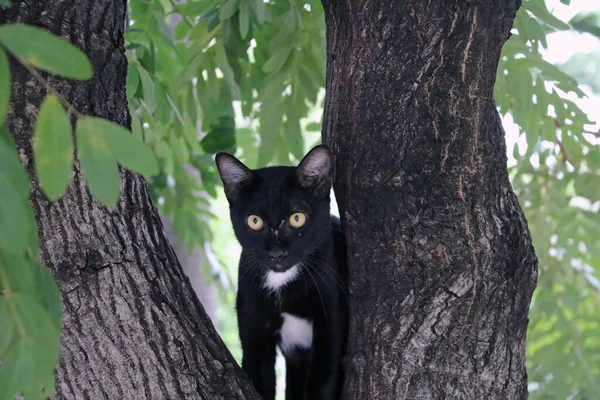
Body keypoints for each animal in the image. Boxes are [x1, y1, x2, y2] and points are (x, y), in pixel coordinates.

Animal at [214, 145, 346, 400]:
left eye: (297, 218)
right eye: (254, 221)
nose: (276, 253)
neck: (281, 284)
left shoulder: (331, 324)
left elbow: (321, 381)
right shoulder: (254, 329)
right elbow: (259, 377)